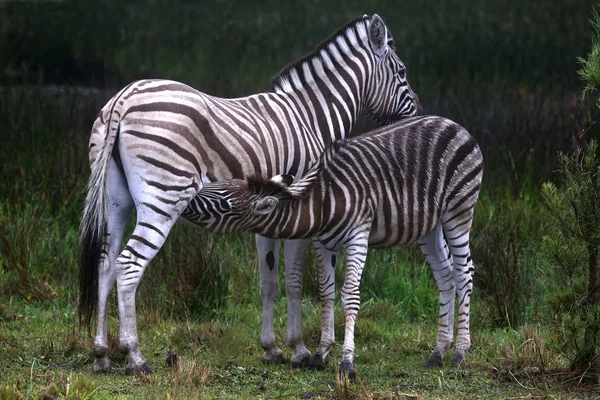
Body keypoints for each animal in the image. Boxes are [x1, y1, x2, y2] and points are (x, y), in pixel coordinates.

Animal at [79, 13, 418, 376]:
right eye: (402, 72)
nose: (415, 116)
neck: (312, 118)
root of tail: (124, 97)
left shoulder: (268, 217)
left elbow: (268, 282)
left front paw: (271, 348)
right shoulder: (303, 211)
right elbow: (294, 282)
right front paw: (299, 349)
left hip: (115, 201)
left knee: (105, 263)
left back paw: (101, 353)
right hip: (164, 197)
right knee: (128, 265)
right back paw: (135, 356)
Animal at [190, 115, 486, 378]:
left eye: (225, 203)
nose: (189, 196)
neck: (323, 201)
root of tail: (452, 123)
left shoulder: (358, 236)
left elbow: (350, 296)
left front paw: (347, 362)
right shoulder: (323, 243)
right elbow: (326, 292)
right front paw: (321, 353)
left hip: (459, 210)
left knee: (464, 274)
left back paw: (460, 352)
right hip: (428, 225)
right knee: (446, 277)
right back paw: (438, 352)